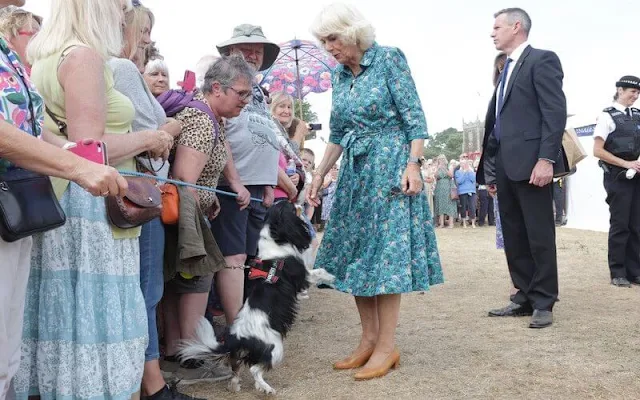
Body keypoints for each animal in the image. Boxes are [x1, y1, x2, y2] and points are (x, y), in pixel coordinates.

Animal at [178, 202, 332, 396]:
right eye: (290, 206)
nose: (298, 202)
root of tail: (236, 337)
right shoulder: (303, 277)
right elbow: (319, 272)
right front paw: (331, 277)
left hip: (242, 355)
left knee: (235, 368)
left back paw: (235, 385)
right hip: (275, 349)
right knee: (254, 369)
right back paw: (266, 388)